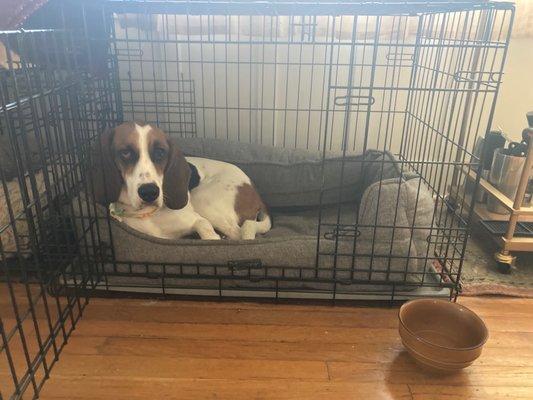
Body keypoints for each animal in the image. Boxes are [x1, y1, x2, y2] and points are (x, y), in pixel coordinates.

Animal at [91, 121, 270, 241]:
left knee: (237, 234)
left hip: (203, 200)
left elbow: (205, 229)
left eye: (160, 152)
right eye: (125, 153)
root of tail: (254, 189)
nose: (149, 192)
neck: (149, 214)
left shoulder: (196, 220)